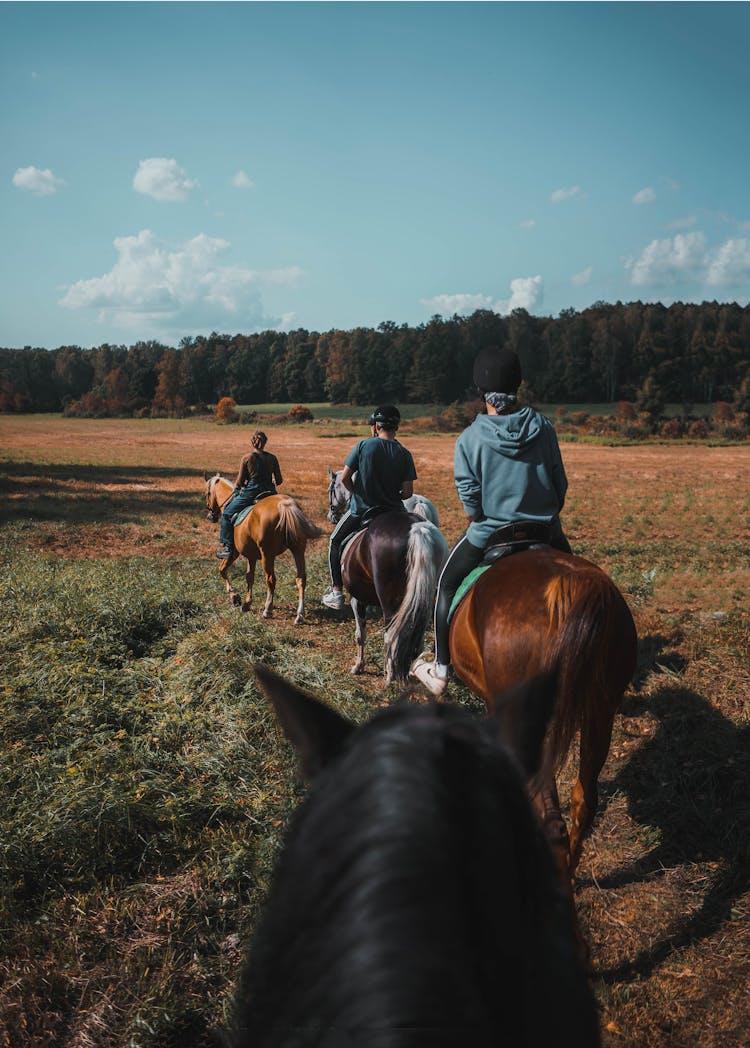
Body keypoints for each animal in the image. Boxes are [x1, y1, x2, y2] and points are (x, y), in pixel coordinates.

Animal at [205, 473, 322, 620]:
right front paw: (246, 603)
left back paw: (268, 610)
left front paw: (235, 597)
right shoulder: (251, 556)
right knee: (301, 578)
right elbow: (249, 577)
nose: (210, 516)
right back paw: (300, 614)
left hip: (267, 554)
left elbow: (222, 570)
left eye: (207, 493)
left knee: (271, 579)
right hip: (298, 549)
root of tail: (285, 505)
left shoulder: (234, 553)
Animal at [341, 509, 450, 683]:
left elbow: (360, 635)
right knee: (417, 637)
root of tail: (418, 529)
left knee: (391, 636)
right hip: (426, 599)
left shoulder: (357, 600)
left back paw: (390, 677)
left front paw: (358, 667)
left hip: (390, 603)